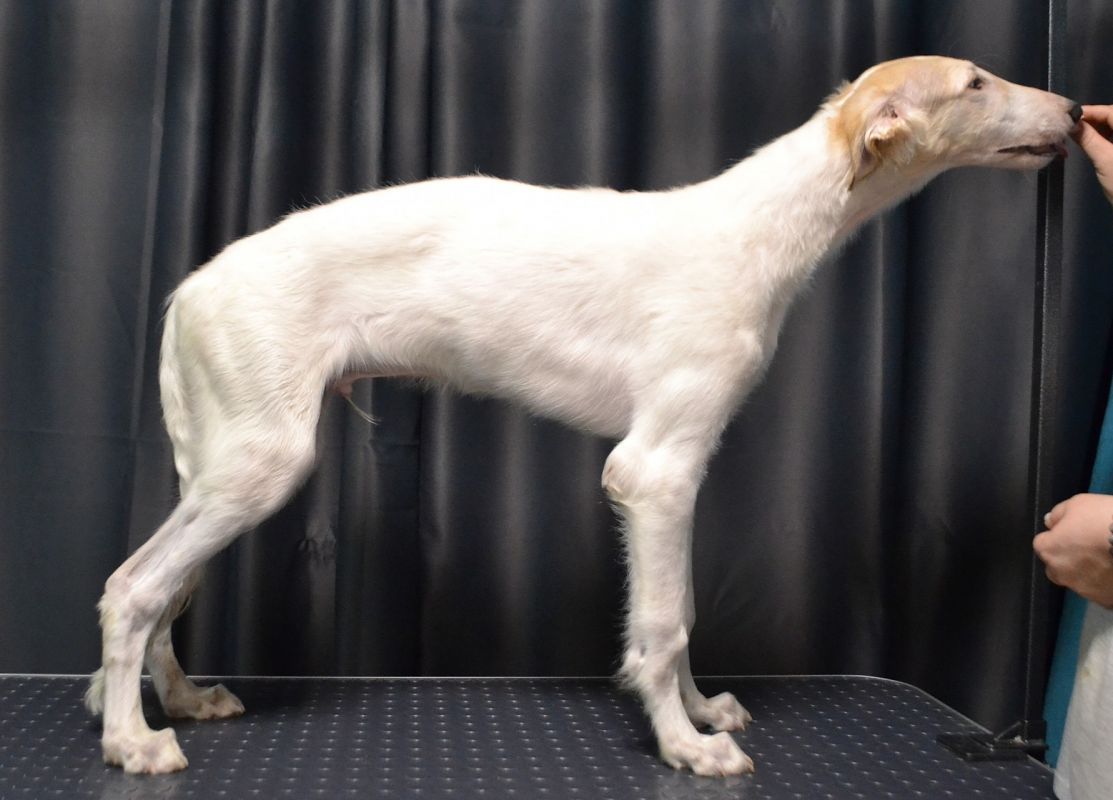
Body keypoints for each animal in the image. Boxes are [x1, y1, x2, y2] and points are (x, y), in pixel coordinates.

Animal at [85, 56, 1080, 775]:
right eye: (975, 82)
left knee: (164, 590)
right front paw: (684, 746)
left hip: (224, 463)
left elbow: (680, 609)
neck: (755, 228)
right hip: (260, 463)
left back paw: (178, 702)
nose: (1074, 112)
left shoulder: (676, 475)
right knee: (133, 588)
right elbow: (662, 623)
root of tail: (188, 291)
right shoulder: (653, 468)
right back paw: (134, 742)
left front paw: (702, 711)